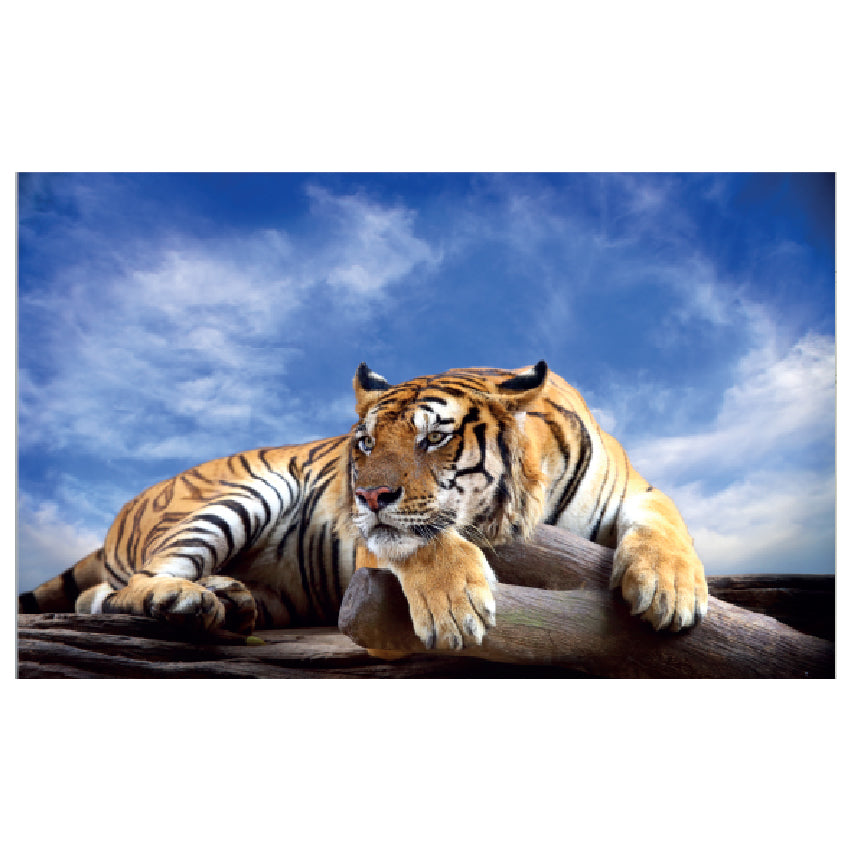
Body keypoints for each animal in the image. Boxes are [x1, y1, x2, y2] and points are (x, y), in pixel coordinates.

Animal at [18, 361, 709, 651]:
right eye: (368, 443)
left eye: (435, 437)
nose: (368, 495)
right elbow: (422, 541)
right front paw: (457, 609)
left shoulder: (636, 491)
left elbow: (667, 524)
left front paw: (671, 591)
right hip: (240, 494)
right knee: (130, 586)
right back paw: (185, 601)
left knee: (97, 595)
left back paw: (229, 598)